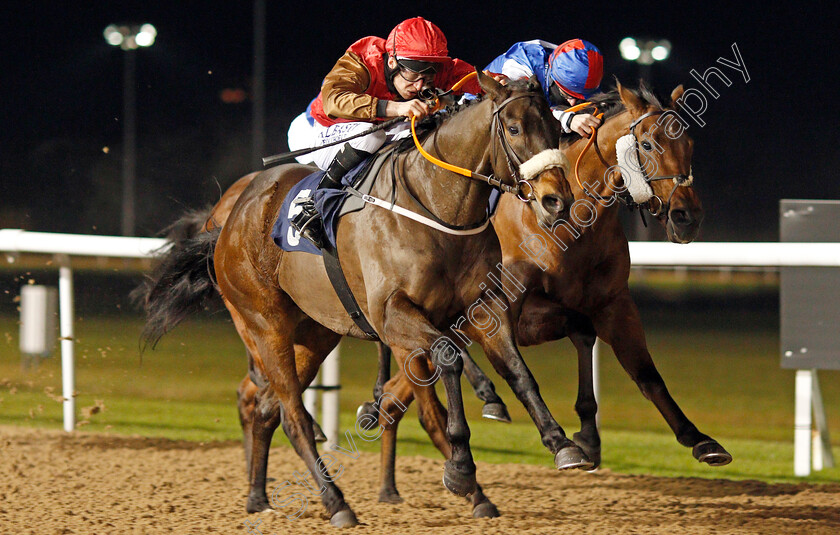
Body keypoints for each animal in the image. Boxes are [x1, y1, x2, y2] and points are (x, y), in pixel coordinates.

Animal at [138, 74, 588, 528]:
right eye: (513, 128)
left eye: (555, 127)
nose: (556, 201)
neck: (437, 206)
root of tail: (228, 221)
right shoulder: (392, 316)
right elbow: (447, 359)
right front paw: (461, 468)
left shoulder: (485, 307)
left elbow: (518, 371)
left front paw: (562, 443)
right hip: (264, 326)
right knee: (292, 416)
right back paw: (336, 503)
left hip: (315, 334)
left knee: (266, 406)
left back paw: (258, 497)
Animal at [354, 81, 736, 504]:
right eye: (649, 144)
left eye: (689, 143)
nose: (688, 217)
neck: (573, 222)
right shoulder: (506, 307)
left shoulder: (611, 302)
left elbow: (641, 371)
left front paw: (698, 439)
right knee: (399, 394)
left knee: (397, 397)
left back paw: (395, 483)